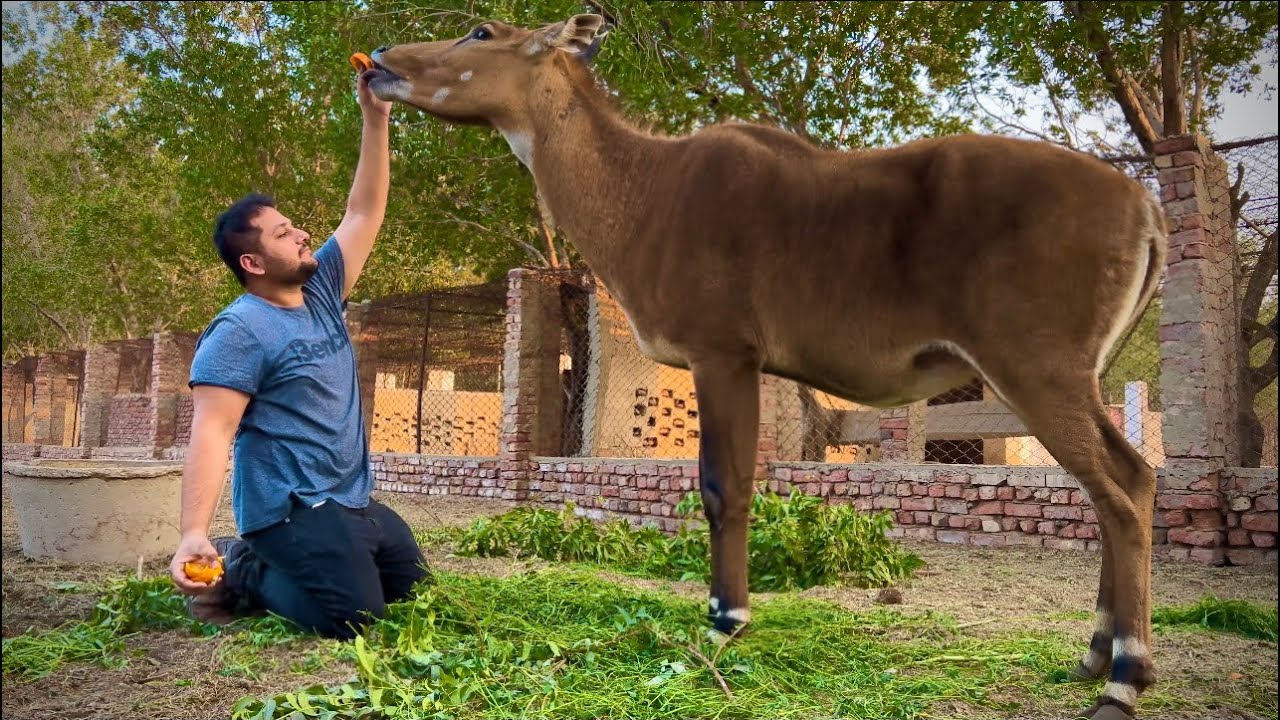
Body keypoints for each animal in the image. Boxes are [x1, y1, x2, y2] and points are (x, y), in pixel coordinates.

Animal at [367, 15, 1167, 720]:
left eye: (481, 32)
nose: (377, 59)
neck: (642, 188)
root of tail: (1146, 208)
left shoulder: (723, 352)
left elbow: (724, 486)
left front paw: (725, 618)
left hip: (1037, 366)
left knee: (1125, 483)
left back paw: (1123, 677)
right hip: (1070, 374)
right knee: (1115, 484)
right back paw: (1093, 656)